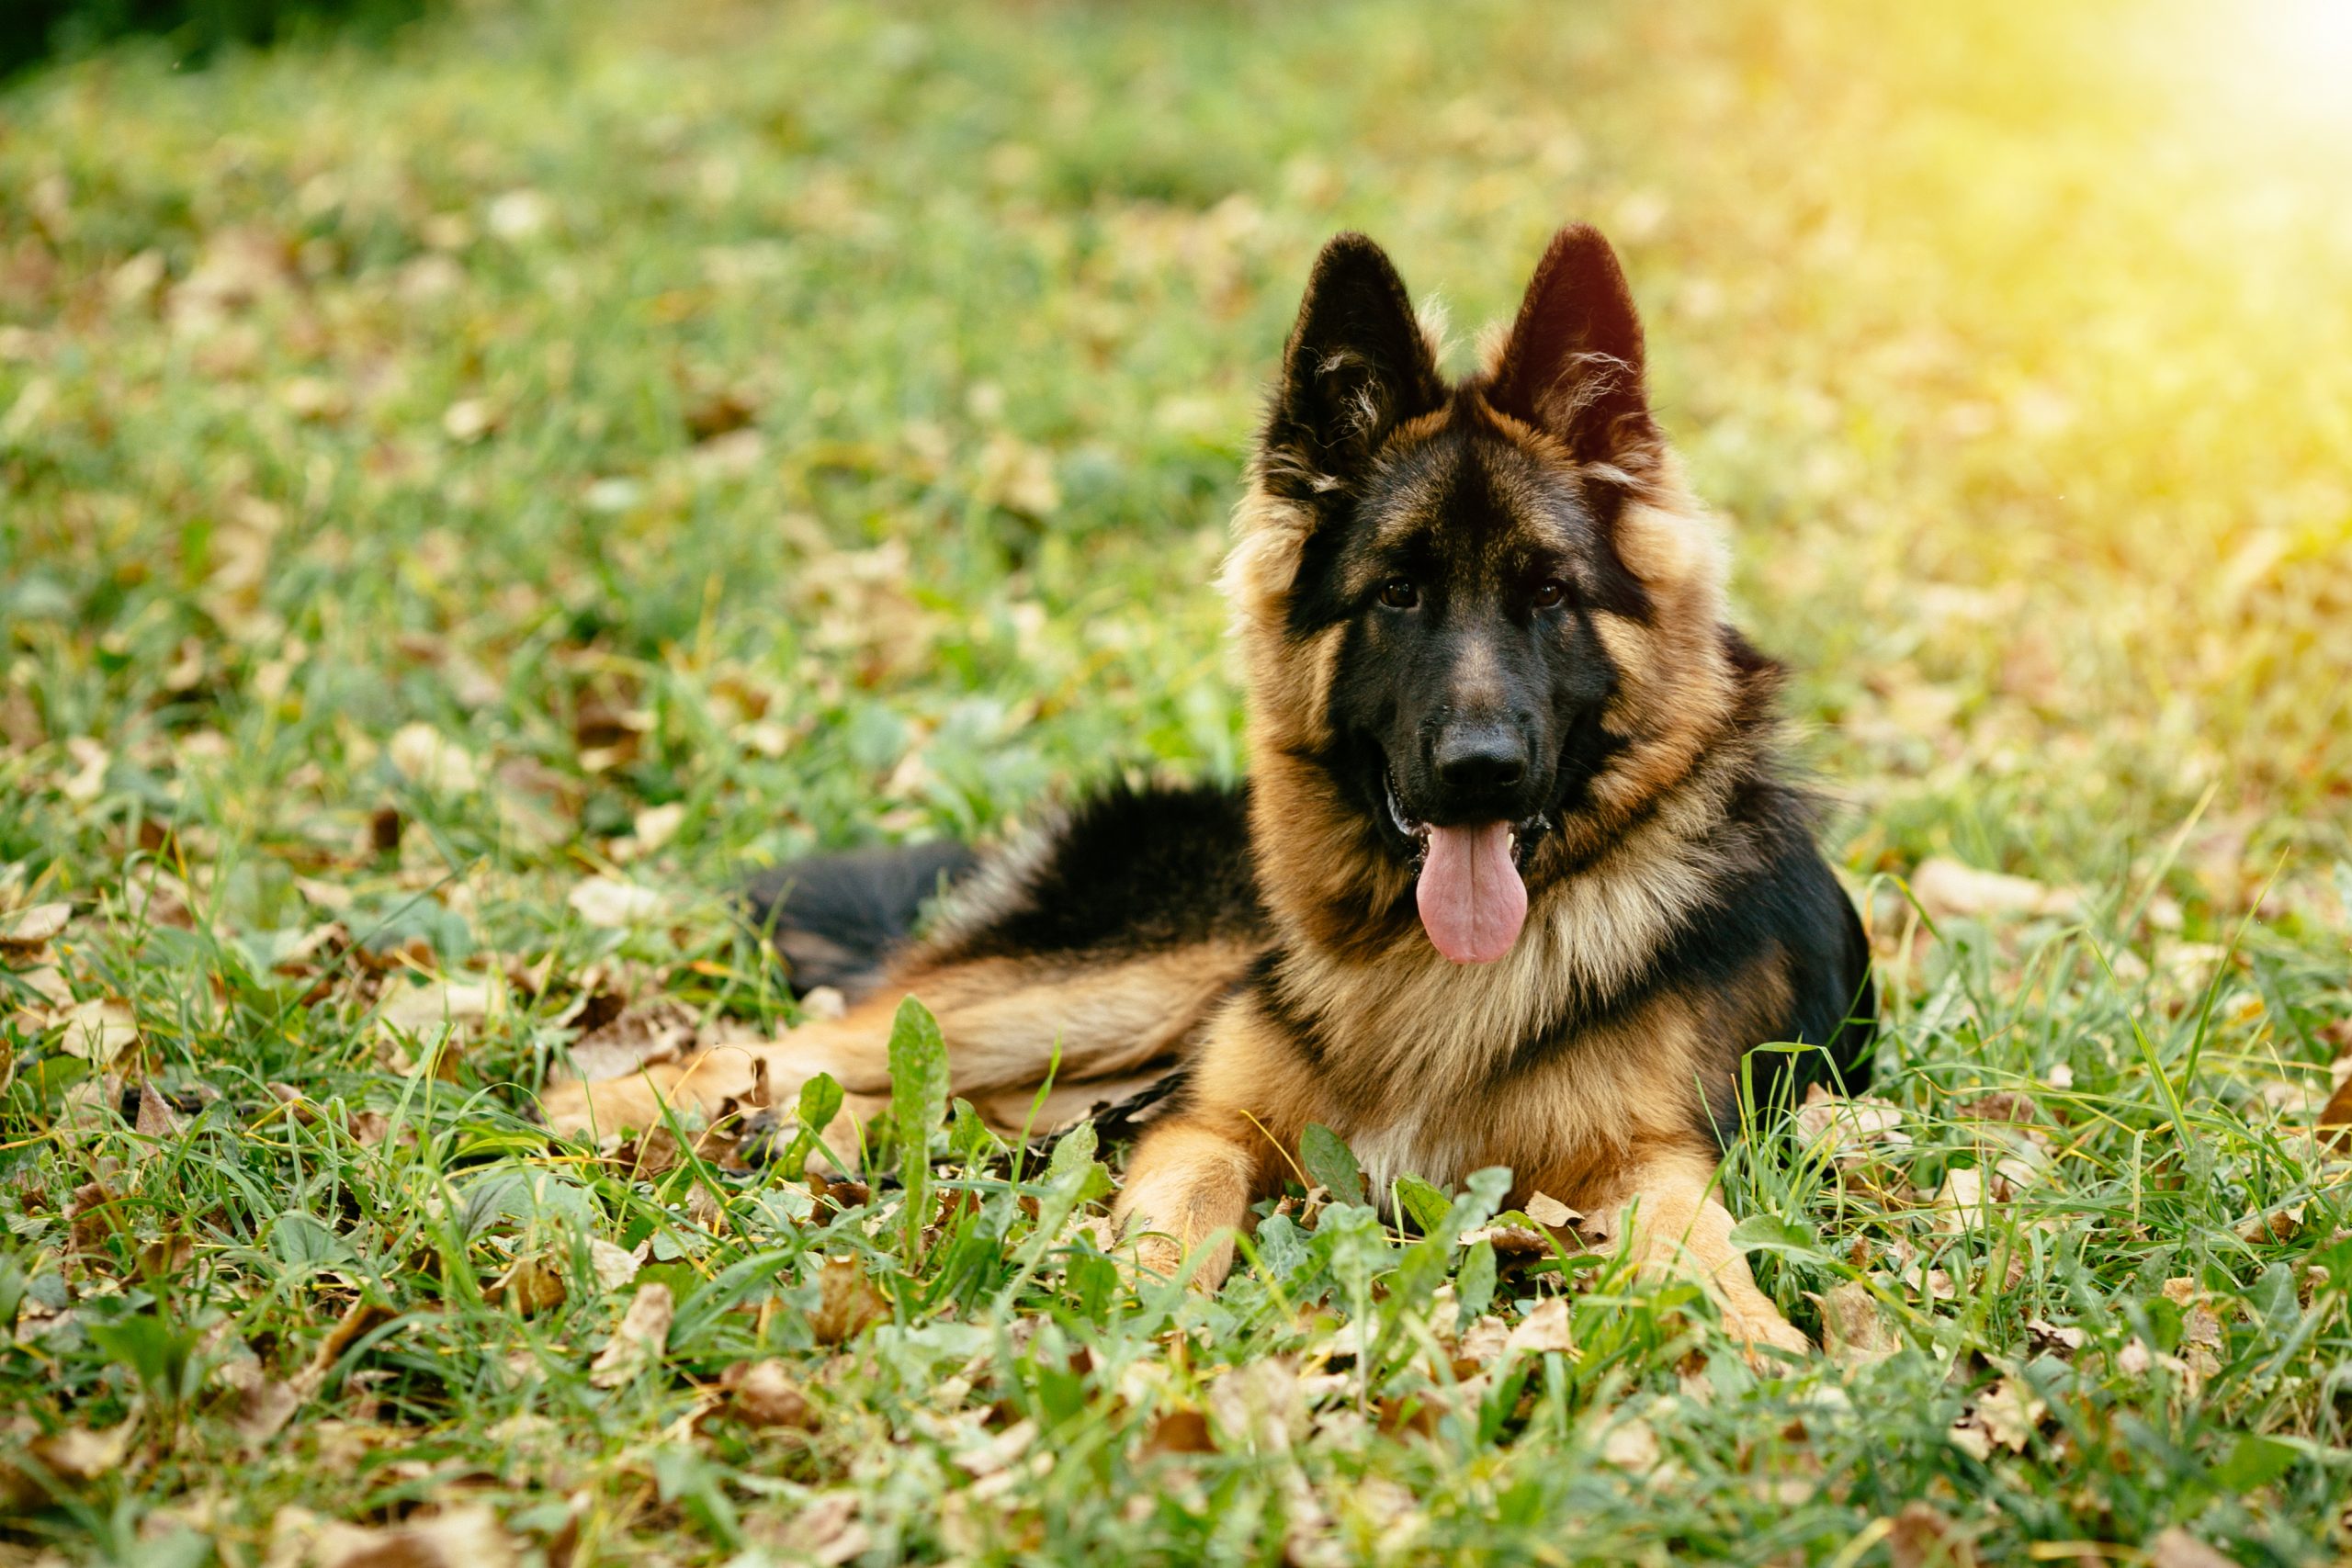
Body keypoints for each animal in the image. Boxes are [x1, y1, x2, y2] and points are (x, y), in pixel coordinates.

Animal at [538, 226, 1871, 1354]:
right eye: (1398, 594)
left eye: (1548, 593)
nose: (1479, 773)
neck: (1423, 972)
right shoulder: (1209, 1120)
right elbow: (1184, 1203)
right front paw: (1137, 1309)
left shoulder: (1649, 1157)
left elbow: (1691, 1244)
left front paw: (1761, 1348)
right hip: (1124, 987)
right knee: (810, 1043)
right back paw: (604, 1106)